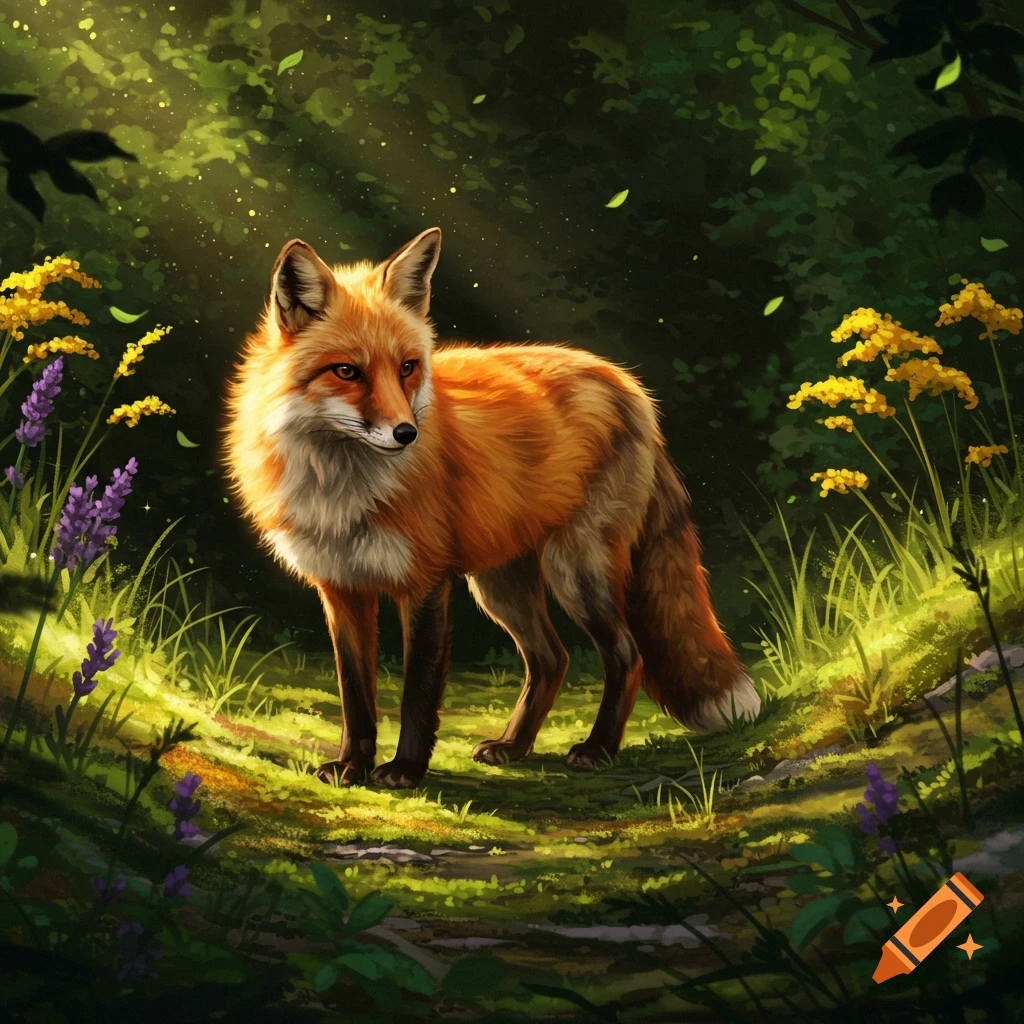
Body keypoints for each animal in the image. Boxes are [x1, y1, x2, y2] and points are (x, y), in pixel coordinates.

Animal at [223, 227, 760, 789]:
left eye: (407, 367)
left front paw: (406, 770)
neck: (342, 491)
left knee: (626, 655)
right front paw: (352, 765)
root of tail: (628, 384)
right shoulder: (341, 588)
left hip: (575, 571)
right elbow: (356, 695)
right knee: (552, 659)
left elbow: (417, 693)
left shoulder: (426, 583)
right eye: (347, 372)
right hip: (501, 584)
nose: (406, 433)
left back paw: (597, 749)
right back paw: (514, 746)